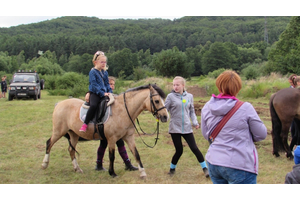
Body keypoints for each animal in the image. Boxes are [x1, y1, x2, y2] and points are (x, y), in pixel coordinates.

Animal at [41, 83, 170, 177]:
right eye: (157, 101)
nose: (165, 117)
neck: (123, 110)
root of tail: (59, 104)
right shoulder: (112, 139)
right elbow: (111, 156)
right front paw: (112, 173)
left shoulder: (128, 137)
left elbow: (136, 153)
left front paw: (142, 172)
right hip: (59, 131)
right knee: (49, 143)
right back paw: (44, 164)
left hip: (73, 134)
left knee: (71, 150)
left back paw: (77, 169)